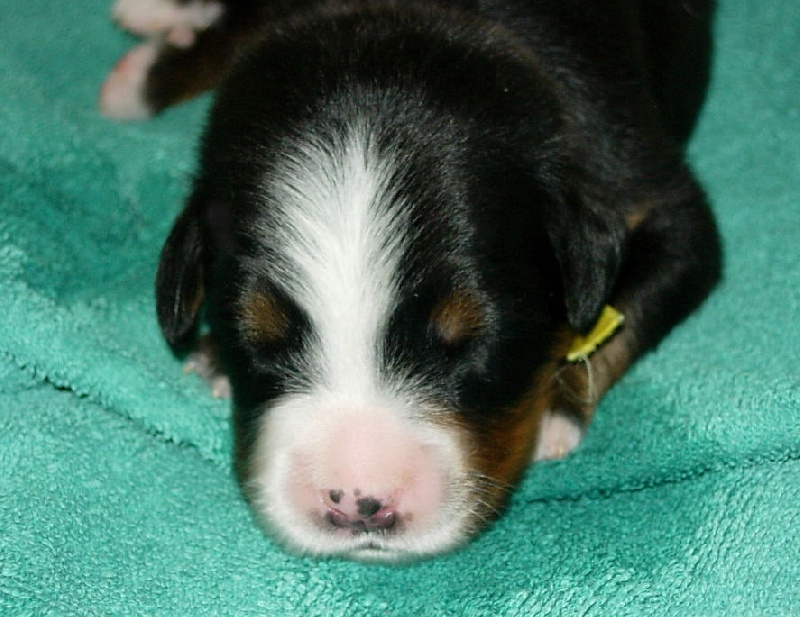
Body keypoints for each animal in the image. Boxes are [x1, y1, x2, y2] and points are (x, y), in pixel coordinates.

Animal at [101, 0, 721, 561]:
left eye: (470, 343)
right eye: (259, 340)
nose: (359, 505)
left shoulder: (662, 203)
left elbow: (622, 318)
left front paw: (557, 412)